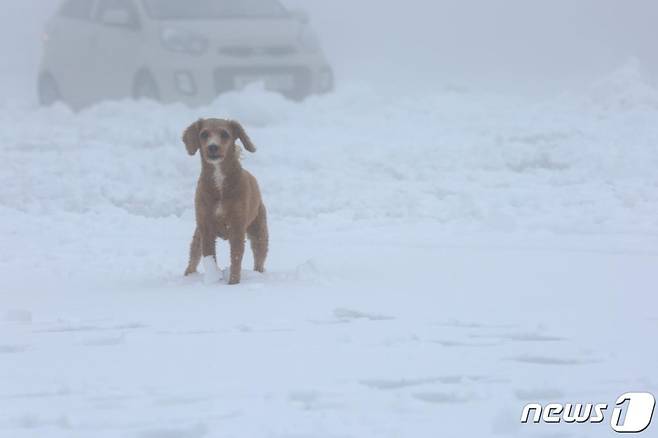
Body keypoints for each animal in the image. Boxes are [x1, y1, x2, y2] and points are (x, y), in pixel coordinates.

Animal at [182, 118, 266, 286]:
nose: (213, 146)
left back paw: (258, 274)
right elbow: (209, 256)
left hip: (259, 231)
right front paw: (213, 279)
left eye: (225, 134)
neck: (219, 182)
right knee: (193, 256)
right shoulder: (206, 227)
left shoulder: (237, 226)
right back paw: (188, 275)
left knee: (259, 258)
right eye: (204, 134)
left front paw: (233, 283)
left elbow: (236, 258)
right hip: (197, 235)